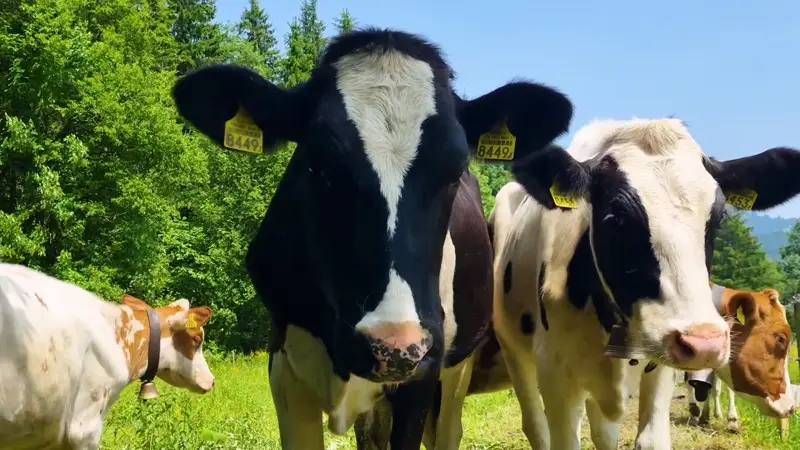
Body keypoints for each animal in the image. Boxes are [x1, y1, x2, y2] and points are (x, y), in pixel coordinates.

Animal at [171, 27, 573, 450]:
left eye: (454, 168)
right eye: (319, 163)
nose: (393, 345)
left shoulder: (423, 370)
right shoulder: (283, 364)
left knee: (448, 430)